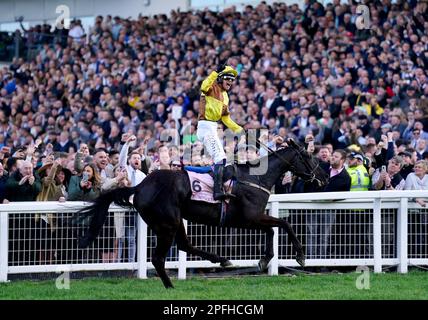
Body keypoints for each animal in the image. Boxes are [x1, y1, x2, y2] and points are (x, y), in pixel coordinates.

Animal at [77, 140, 328, 288]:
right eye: (309, 156)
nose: (324, 177)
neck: (256, 178)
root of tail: (139, 187)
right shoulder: (249, 217)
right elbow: (283, 224)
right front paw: (300, 255)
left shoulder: (249, 219)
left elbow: (272, 229)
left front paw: (265, 259)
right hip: (167, 222)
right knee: (159, 258)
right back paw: (170, 285)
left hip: (175, 220)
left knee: (184, 245)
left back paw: (222, 260)